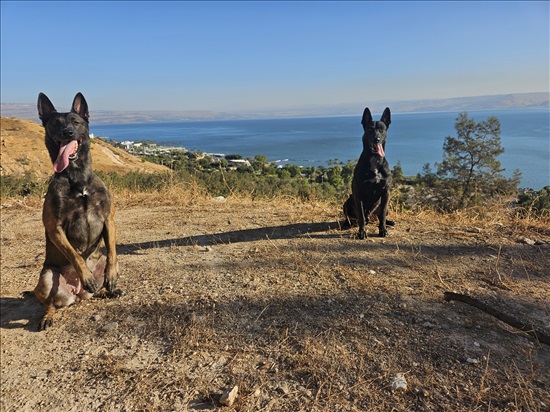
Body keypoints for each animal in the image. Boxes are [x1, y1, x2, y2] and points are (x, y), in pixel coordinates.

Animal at [35, 91, 121, 330]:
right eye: (55, 123)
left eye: (75, 121)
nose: (68, 132)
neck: (77, 178)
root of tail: (77, 292)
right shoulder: (55, 228)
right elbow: (75, 255)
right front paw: (86, 275)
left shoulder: (108, 220)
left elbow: (112, 252)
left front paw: (110, 278)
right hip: (46, 277)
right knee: (50, 303)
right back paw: (48, 316)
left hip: (100, 262)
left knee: (98, 287)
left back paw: (107, 292)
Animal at [354, 107, 392, 238]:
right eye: (370, 130)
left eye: (382, 129)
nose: (377, 139)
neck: (375, 160)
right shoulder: (358, 193)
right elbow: (360, 215)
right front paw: (361, 232)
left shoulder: (385, 193)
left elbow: (383, 214)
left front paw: (383, 230)